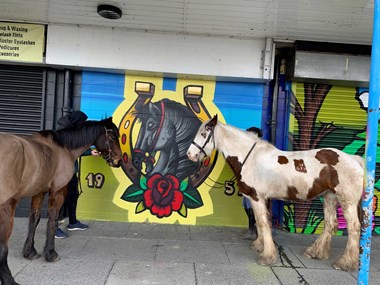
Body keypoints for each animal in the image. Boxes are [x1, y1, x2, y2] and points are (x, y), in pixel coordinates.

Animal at [0, 116, 121, 284]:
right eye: (113, 137)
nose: (118, 160)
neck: (63, 149)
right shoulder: (58, 192)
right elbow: (52, 220)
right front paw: (50, 253)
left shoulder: (39, 192)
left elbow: (34, 220)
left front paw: (30, 251)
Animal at [186, 115, 362, 270]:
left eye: (203, 134)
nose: (190, 154)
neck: (251, 158)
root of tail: (354, 159)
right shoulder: (258, 199)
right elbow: (259, 221)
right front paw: (259, 245)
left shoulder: (256, 197)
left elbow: (263, 223)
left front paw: (267, 256)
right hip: (329, 197)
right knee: (330, 224)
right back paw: (316, 252)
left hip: (347, 202)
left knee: (354, 228)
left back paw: (345, 263)